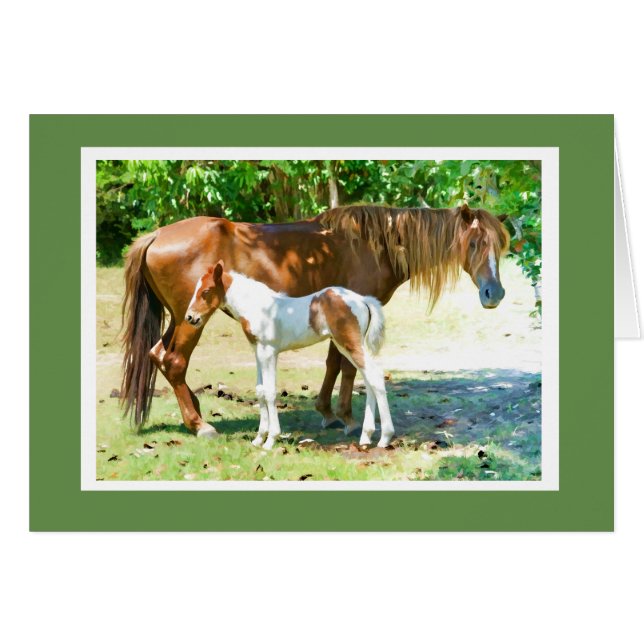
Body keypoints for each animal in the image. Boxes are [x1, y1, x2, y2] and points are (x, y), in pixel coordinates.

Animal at [184, 261, 392, 449]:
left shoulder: (269, 352)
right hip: (346, 347)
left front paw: (270, 440)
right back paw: (366, 436)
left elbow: (269, 392)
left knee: (375, 376)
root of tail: (363, 300)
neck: (258, 308)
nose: (190, 317)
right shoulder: (258, 352)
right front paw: (258, 439)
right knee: (369, 379)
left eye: (206, 291)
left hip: (350, 344)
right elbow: (260, 391)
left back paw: (385, 438)